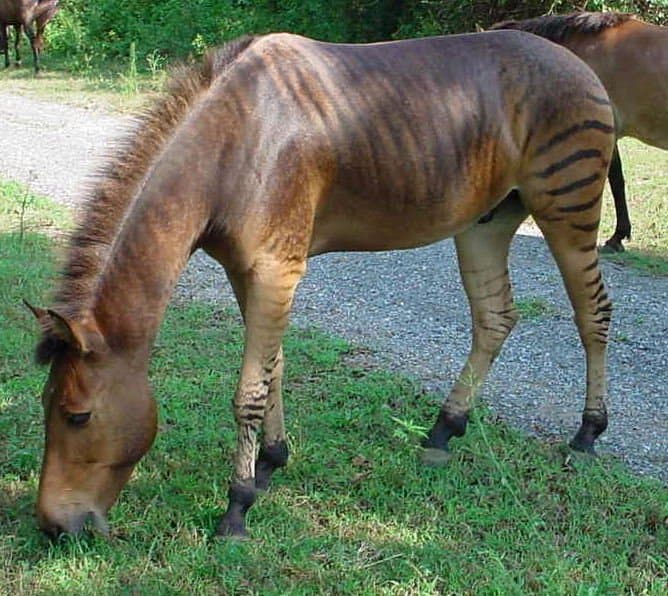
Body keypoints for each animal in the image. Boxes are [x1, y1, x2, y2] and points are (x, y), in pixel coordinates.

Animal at [28, 32, 616, 540]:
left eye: (77, 416)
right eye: (43, 404)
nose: (53, 528)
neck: (234, 147)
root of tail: (578, 63)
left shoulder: (276, 268)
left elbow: (248, 392)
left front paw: (237, 507)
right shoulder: (247, 269)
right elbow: (275, 368)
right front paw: (270, 465)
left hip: (568, 209)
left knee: (593, 313)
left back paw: (587, 434)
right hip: (486, 221)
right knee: (496, 318)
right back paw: (443, 430)